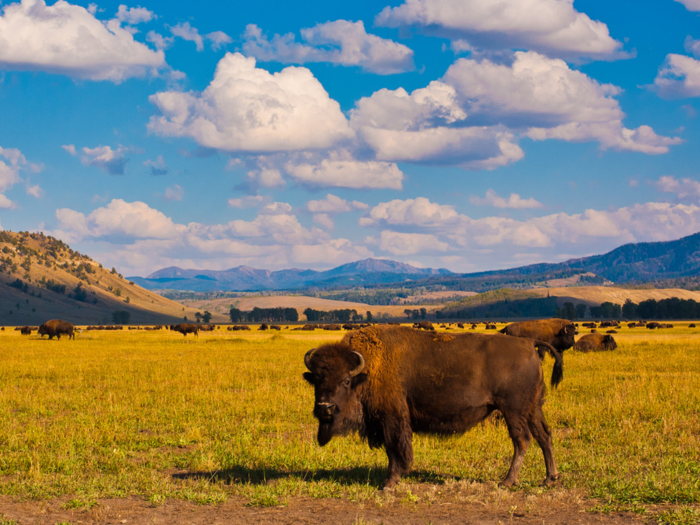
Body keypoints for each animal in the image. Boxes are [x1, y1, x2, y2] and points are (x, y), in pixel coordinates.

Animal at [302, 326, 564, 490]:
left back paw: (507, 481)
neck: (367, 370)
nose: (325, 407)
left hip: (513, 410)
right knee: (544, 435)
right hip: (532, 409)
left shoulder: (392, 418)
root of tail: (529, 344)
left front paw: (389, 482)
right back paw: (549, 479)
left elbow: (394, 448)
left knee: (522, 439)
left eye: (345, 381)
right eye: (316, 380)